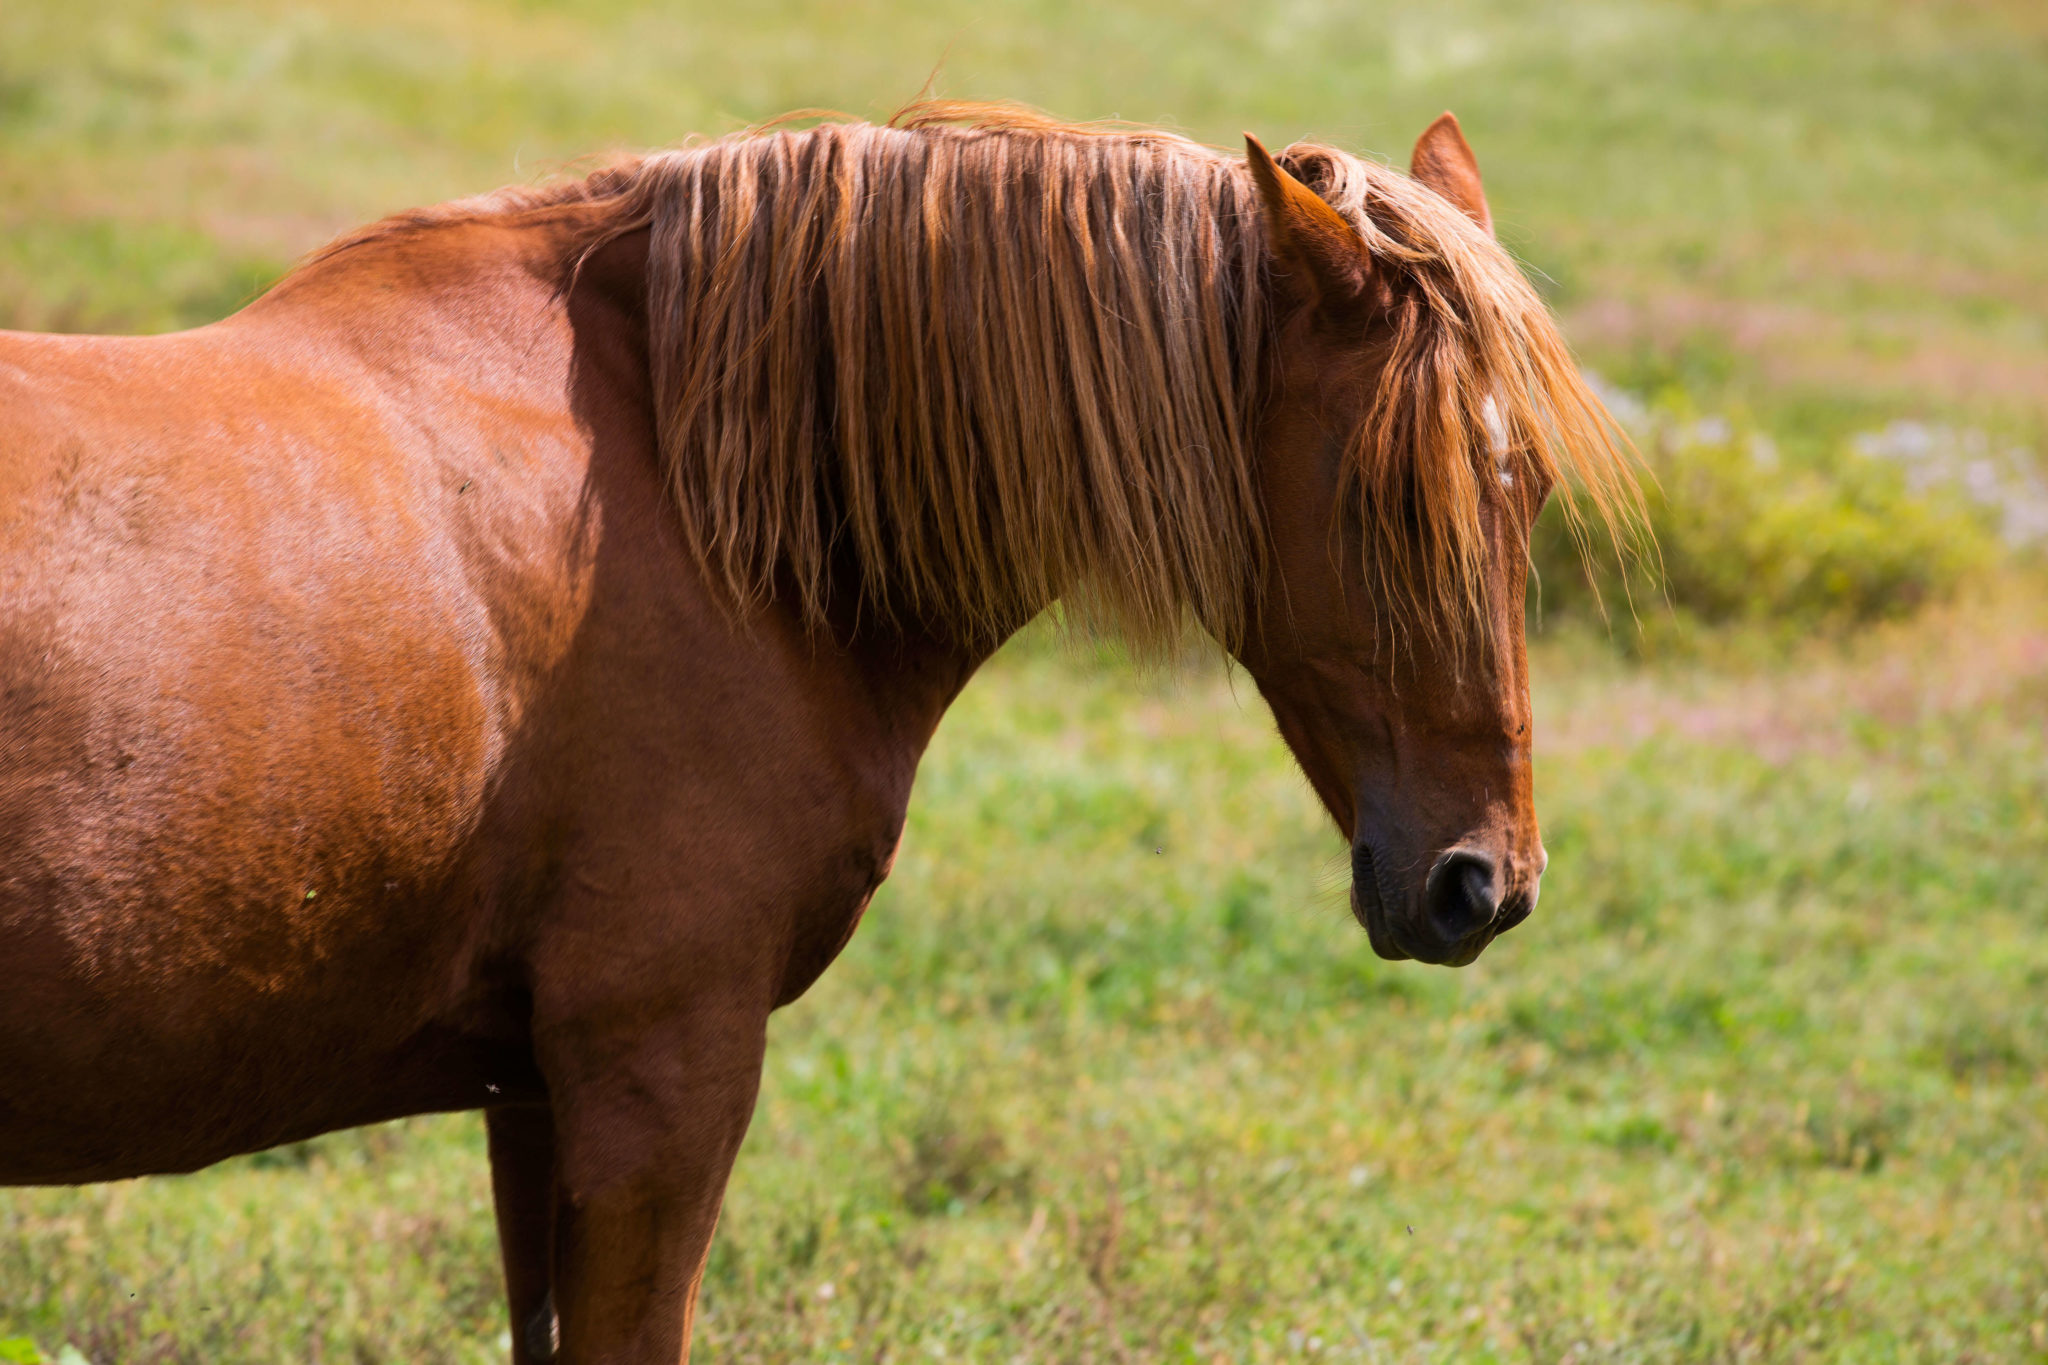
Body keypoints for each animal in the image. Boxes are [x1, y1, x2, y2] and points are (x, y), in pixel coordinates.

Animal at [0, 101, 1630, 1358]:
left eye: (1532, 488)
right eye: (1390, 497)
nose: (1484, 883)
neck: (679, 486)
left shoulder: (529, 1094)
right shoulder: (659, 1076)